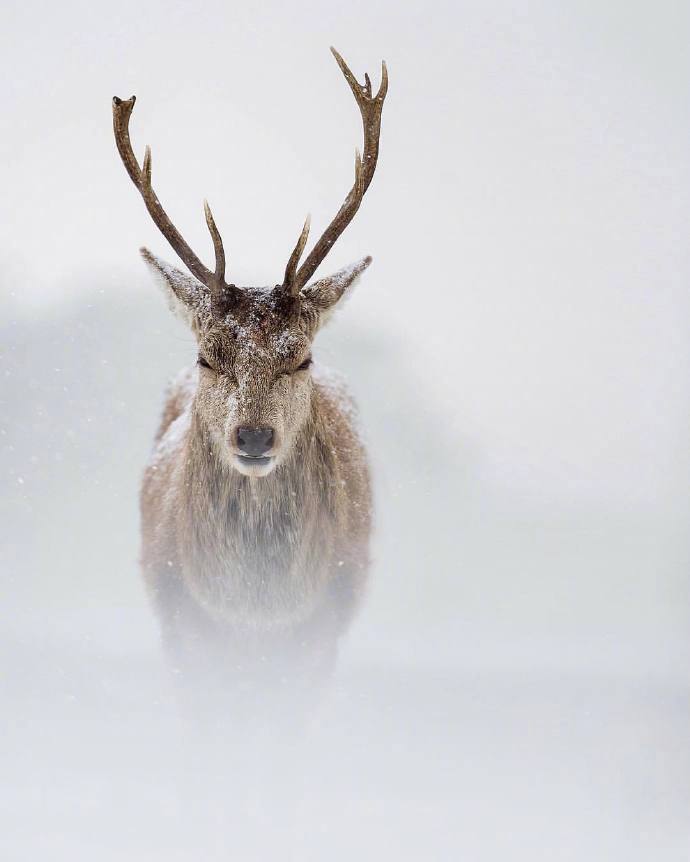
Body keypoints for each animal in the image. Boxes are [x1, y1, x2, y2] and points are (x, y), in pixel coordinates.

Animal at [110, 49, 384, 708]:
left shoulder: (321, 634)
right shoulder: (181, 629)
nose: (254, 437)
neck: (254, 613)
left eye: (301, 357)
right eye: (207, 357)